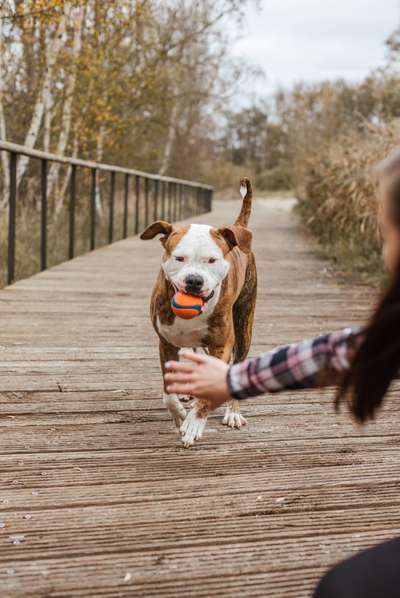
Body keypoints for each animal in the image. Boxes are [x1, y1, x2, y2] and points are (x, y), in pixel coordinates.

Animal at [141, 180, 258, 448]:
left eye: (212, 260)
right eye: (179, 258)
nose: (194, 281)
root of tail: (237, 228)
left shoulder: (222, 344)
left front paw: (194, 422)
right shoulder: (166, 343)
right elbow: (168, 395)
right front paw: (179, 414)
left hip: (243, 325)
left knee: (238, 361)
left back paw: (233, 412)